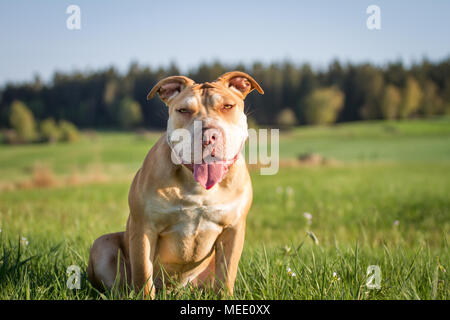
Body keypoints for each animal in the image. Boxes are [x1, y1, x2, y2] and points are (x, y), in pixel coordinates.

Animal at [87, 71, 262, 298]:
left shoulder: (233, 229)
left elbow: (226, 275)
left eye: (227, 106)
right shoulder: (144, 228)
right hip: (102, 245)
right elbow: (143, 274)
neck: (197, 185)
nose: (208, 136)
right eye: (183, 110)